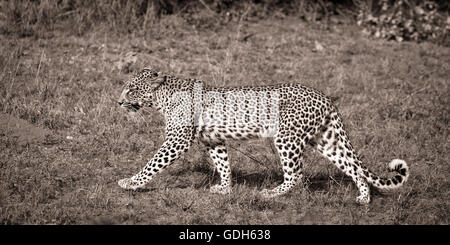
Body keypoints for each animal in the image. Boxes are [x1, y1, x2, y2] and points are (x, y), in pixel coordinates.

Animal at [116, 68, 408, 204]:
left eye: (131, 90)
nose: (118, 103)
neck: (163, 98)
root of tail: (324, 96)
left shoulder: (178, 139)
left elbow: (153, 163)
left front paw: (131, 182)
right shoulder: (213, 139)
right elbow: (223, 164)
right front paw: (224, 188)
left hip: (287, 138)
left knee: (296, 174)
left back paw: (270, 193)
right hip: (326, 140)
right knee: (354, 168)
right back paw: (364, 199)